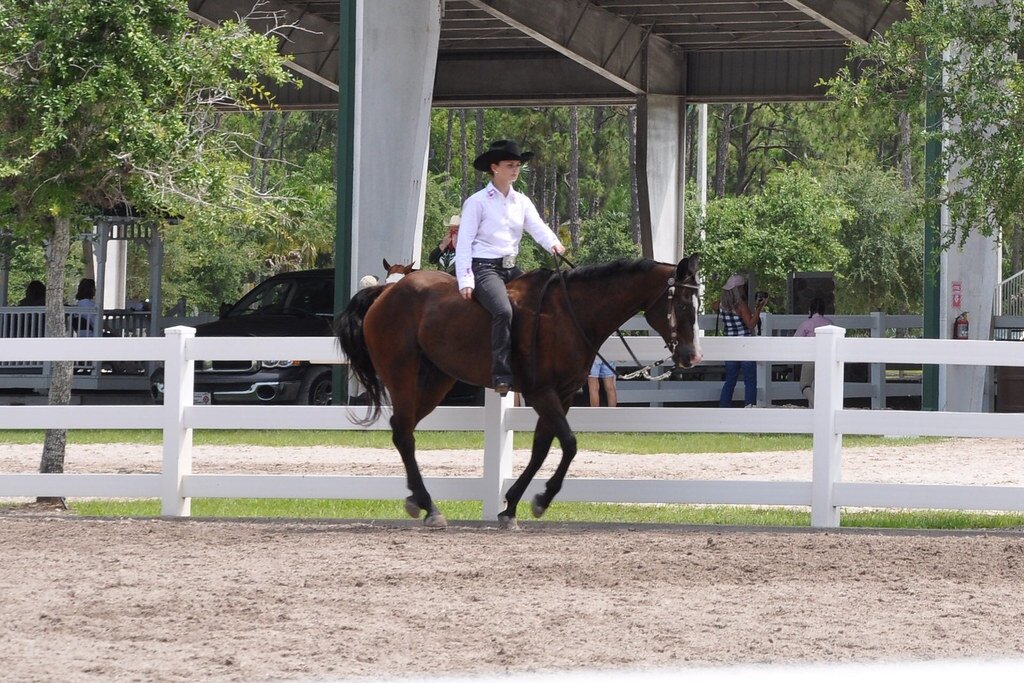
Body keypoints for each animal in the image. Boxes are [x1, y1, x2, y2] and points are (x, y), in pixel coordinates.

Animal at [335, 255, 704, 528]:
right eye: (683, 304)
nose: (691, 357)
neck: (569, 313)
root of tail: (385, 294)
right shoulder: (542, 393)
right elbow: (569, 444)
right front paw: (542, 499)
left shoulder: (562, 395)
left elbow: (542, 449)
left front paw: (511, 505)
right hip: (404, 377)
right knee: (404, 434)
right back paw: (429, 506)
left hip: (435, 382)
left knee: (404, 429)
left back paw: (419, 499)